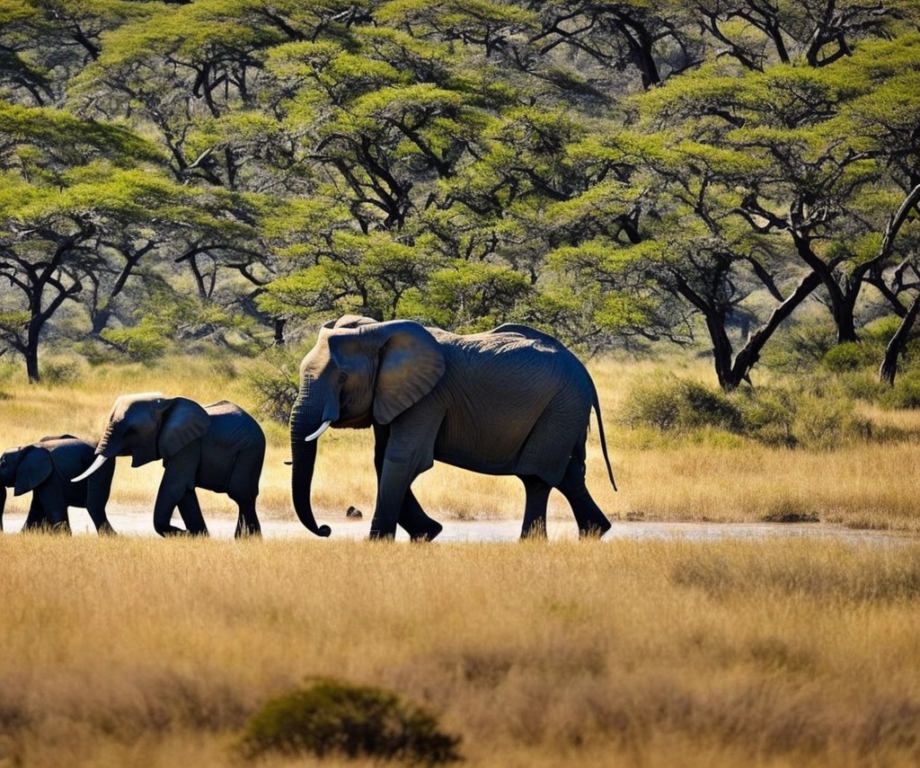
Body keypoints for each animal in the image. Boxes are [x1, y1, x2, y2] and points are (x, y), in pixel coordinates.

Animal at [73, 394, 265, 538]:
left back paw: (248, 541)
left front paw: (185, 534)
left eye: (130, 431)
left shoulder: (189, 445)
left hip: (250, 451)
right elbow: (185, 491)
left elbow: (174, 486)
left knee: (241, 495)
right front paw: (199, 536)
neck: (165, 404)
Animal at [290, 315, 617, 541]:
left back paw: (531, 543)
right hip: (565, 412)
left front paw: (378, 543)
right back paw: (594, 532)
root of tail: (584, 370)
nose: (326, 529)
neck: (379, 331)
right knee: (567, 474)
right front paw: (427, 533)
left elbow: (403, 458)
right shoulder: (392, 394)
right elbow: (382, 458)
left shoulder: (429, 398)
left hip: (562, 406)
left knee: (536, 477)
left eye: (343, 378)